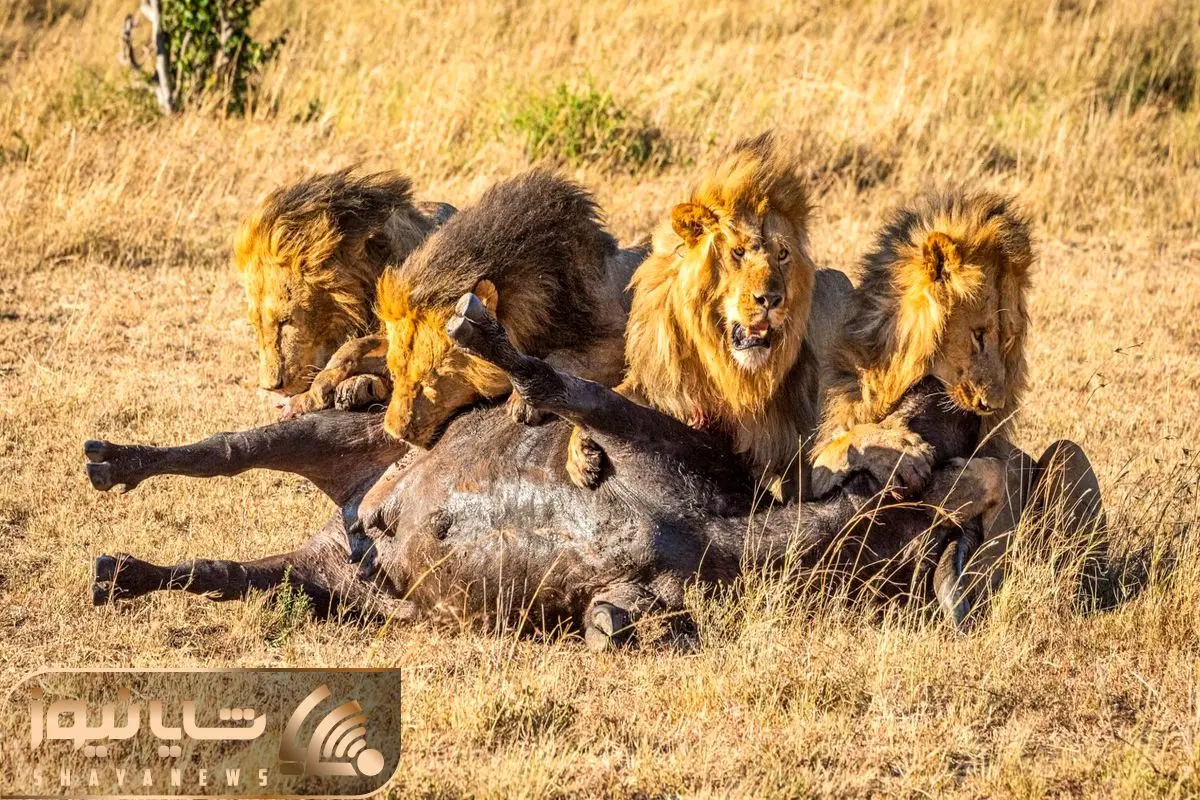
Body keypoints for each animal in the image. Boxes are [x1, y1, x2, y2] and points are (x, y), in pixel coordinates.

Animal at [376, 169, 635, 446]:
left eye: (428, 384)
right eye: (394, 374)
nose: (395, 433)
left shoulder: (615, 335)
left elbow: (568, 356)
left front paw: (524, 401)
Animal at [566, 133, 823, 497]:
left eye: (782, 254)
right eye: (738, 252)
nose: (772, 299)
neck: (725, 370)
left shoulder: (785, 438)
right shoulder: (661, 388)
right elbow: (614, 393)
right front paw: (580, 457)